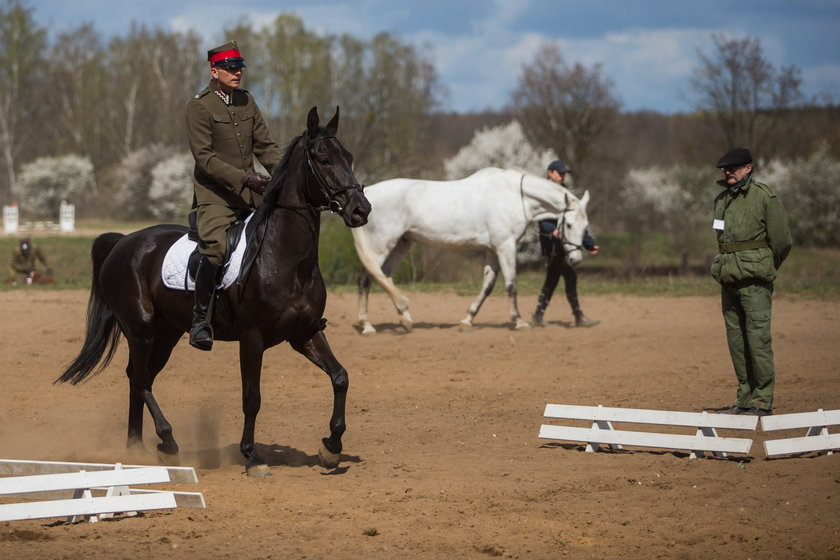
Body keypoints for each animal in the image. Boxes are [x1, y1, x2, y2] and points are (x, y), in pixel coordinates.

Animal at [52, 107, 368, 474]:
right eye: (323, 158)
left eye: (348, 156)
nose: (361, 209)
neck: (285, 257)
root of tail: (124, 242)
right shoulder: (252, 338)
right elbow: (252, 398)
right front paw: (252, 455)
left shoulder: (304, 333)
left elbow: (340, 377)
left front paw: (331, 447)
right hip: (141, 329)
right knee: (140, 380)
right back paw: (168, 442)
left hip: (166, 333)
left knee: (138, 378)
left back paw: (138, 448)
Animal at [352, 165, 588, 332]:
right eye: (568, 224)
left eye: (585, 226)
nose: (575, 260)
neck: (513, 196)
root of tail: (368, 193)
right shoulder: (506, 246)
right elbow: (511, 285)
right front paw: (519, 322)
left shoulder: (493, 250)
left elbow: (488, 286)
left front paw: (467, 320)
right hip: (380, 245)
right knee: (365, 278)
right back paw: (367, 325)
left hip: (402, 243)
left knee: (385, 276)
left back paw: (405, 319)